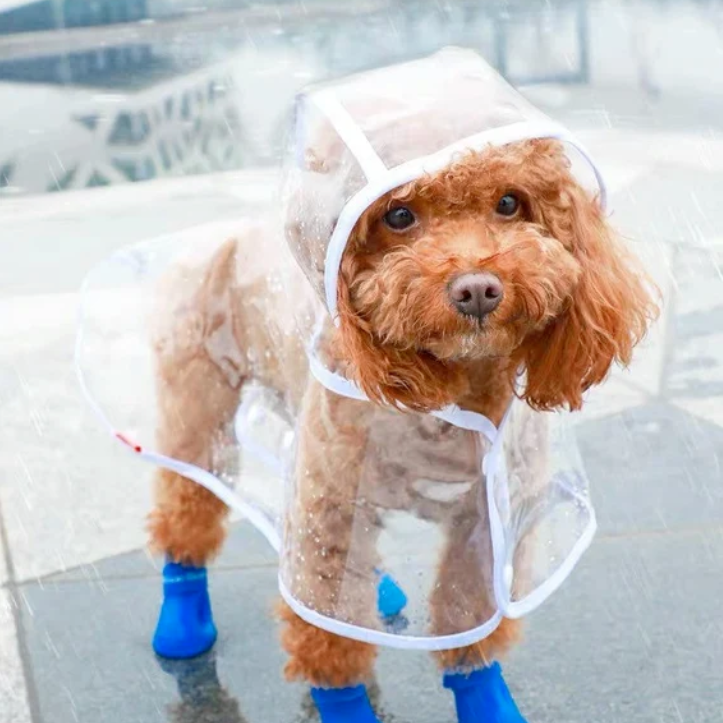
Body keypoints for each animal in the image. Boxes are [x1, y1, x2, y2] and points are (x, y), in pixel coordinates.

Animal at [146, 137, 656, 692]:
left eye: (509, 203)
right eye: (399, 215)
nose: (477, 289)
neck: (448, 393)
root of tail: (230, 231)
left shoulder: (484, 523)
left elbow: (467, 621)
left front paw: (487, 696)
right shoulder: (329, 511)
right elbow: (332, 641)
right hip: (201, 407)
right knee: (186, 507)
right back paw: (182, 625)